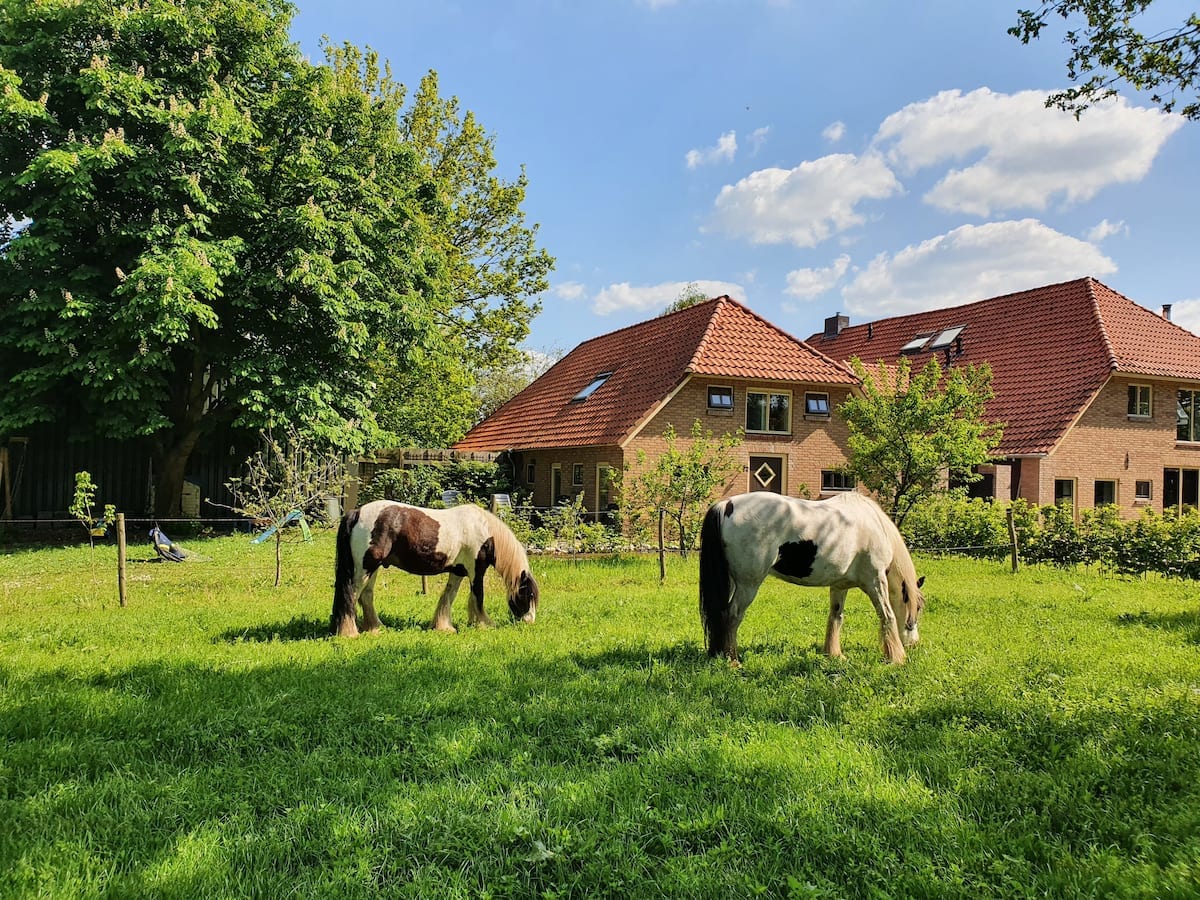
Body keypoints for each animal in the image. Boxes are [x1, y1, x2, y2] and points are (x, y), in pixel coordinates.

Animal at [328, 501, 535, 643]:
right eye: (528, 595)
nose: (530, 621)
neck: (484, 531)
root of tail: (357, 512)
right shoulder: (476, 570)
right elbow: (478, 597)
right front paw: (484, 625)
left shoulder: (458, 571)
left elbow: (449, 596)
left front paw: (444, 627)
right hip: (365, 567)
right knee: (351, 596)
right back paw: (350, 633)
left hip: (372, 567)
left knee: (366, 596)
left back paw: (376, 628)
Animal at [700, 494, 921, 662]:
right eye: (917, 608)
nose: (914, 643)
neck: (875, 525)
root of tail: (727, 505)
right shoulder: (875, 581)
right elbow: (887, 615)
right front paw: (897, 658)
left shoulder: (840, 586)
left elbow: (836, 616)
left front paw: (834, 654)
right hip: (748, 585)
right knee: (732, 615)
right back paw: (732, 660)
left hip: (731, 583)